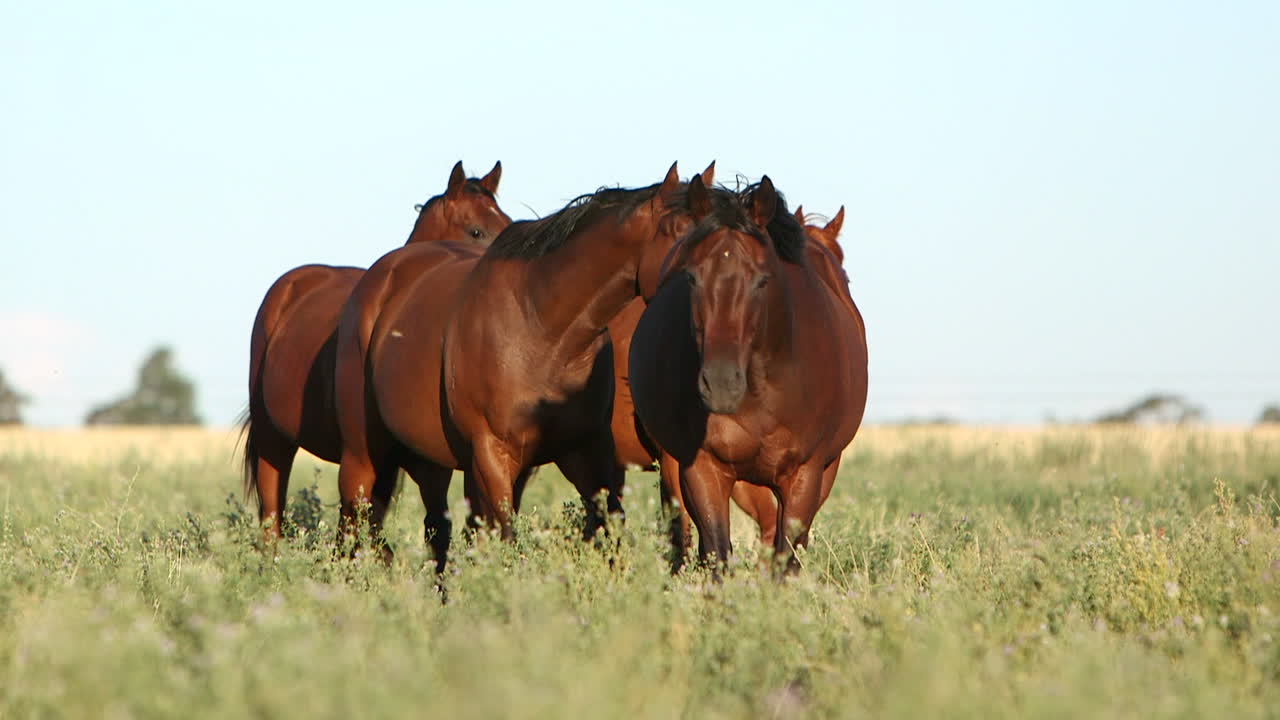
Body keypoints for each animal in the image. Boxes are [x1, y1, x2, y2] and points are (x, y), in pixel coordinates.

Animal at [333, 163, 724, 571]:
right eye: (684, 234)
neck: (542, 330)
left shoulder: (587, 452)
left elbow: (611, 533)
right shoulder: (494, 456)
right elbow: (507, 539)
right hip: (364, 455)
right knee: (355, 524)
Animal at [629, 176, 868, 572]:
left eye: (762, 280)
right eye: (691, 277)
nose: (721, 383)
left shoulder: (805, 475)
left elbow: (786, 557)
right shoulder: (702, 468)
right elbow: (717, 553)